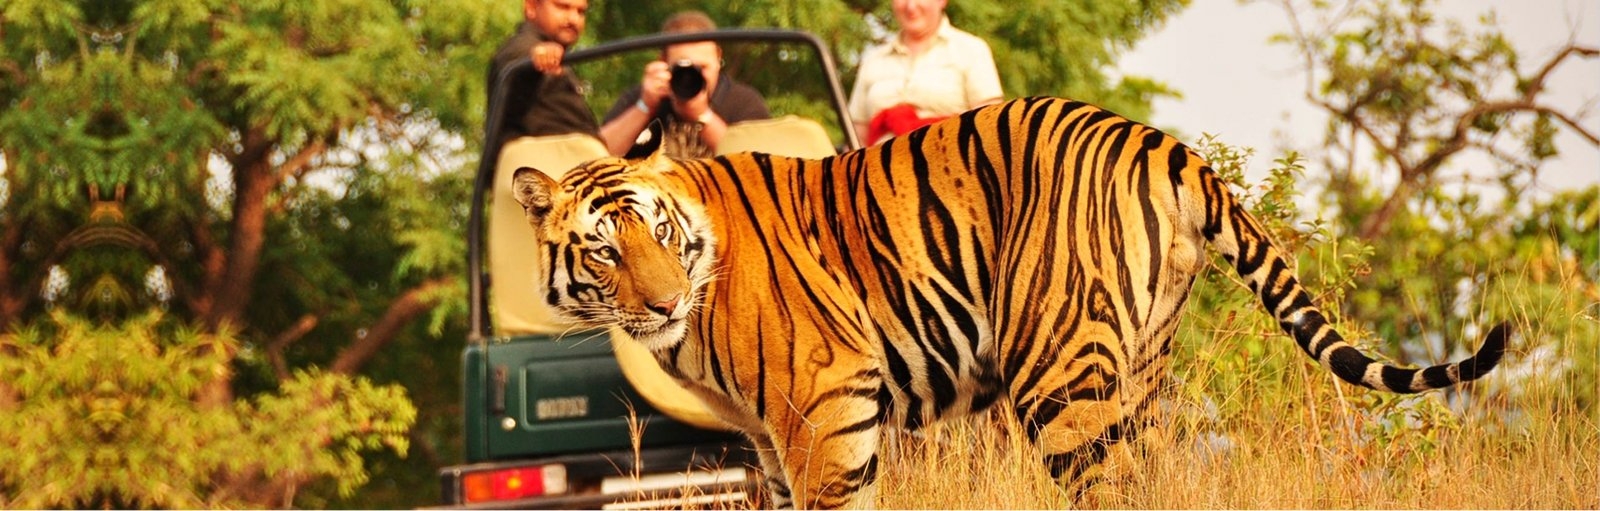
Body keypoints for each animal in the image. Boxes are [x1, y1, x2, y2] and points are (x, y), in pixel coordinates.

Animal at [508, 96, 1508, 509]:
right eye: (604, 249)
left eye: (657, 233)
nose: (664, 301)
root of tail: (1163, 142)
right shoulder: (773, 434)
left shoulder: (825, 406)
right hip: (1140, 369)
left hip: (1058, 373)